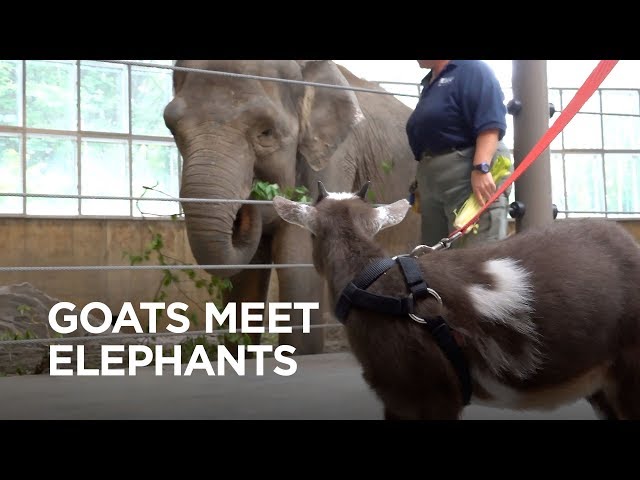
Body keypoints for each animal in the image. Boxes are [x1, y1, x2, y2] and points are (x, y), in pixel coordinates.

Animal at [164, 60, 420, 354]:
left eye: (266, 132)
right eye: (172, 128)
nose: (250, 197)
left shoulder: (336, 158)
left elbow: (298, 265)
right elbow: (244, 278)